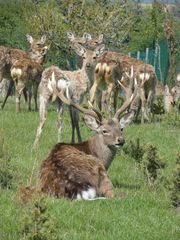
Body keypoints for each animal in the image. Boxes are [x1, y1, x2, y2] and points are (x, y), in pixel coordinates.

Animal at [37, 73, 136, 201]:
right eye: (104, 131)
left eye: (121, 128)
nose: (120, 140)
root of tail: (76, 188)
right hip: (101, 173)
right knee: (114, 196)